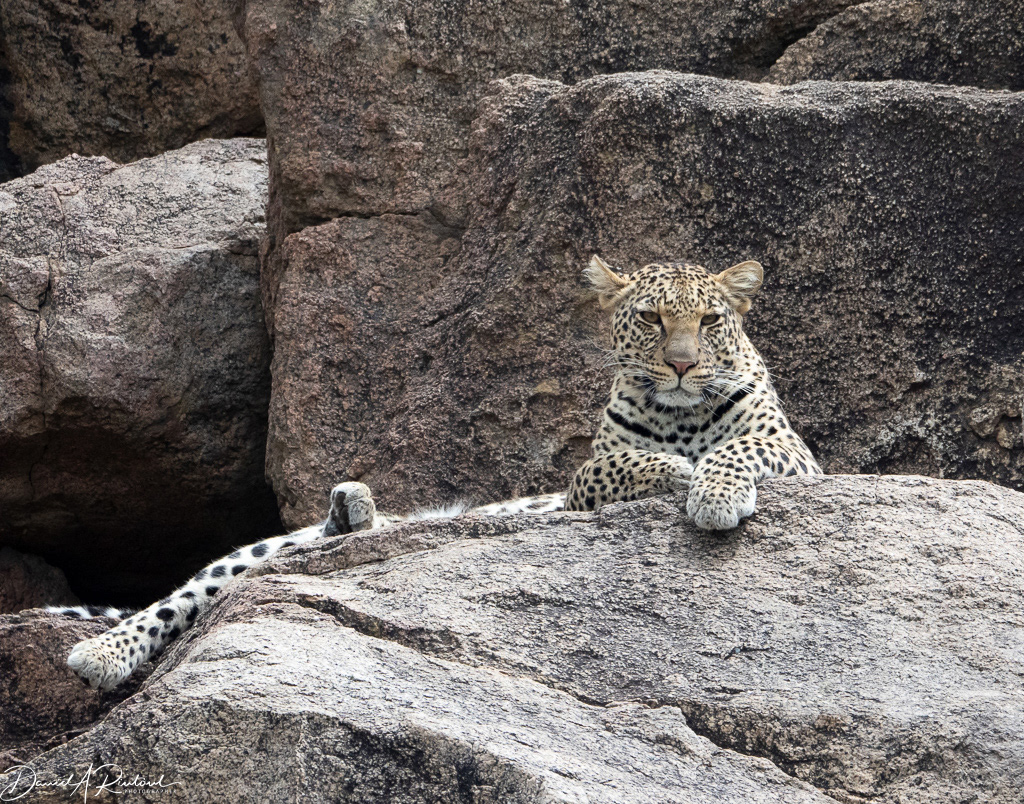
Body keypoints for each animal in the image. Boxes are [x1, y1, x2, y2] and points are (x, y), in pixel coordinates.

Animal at [52, 254, 819, 691]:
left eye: (711, 320)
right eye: (653, 320)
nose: (684, 365)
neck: (679, 414)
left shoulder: (798, 456)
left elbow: (733, 451)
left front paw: (709, 489)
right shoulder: (584, 480)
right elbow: (612, 466)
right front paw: (671, 471)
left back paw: (355, 510)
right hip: (260, 551)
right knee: (179, 598)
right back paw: (102, 652)